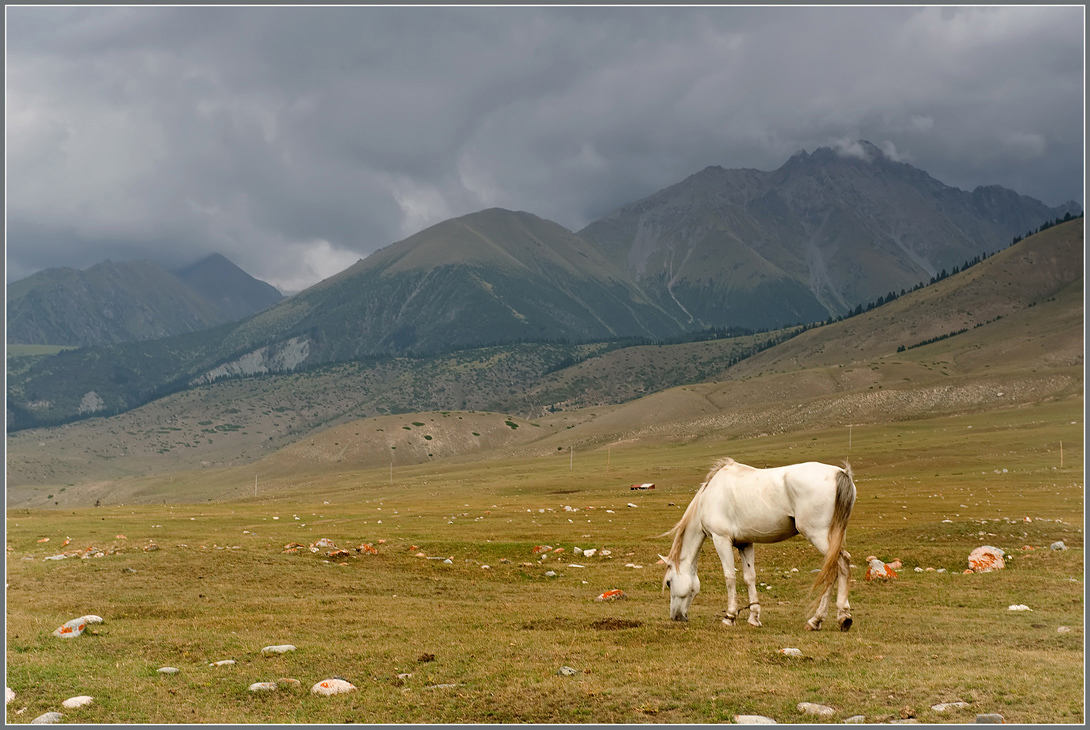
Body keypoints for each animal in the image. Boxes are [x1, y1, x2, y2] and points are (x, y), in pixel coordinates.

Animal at [658, 459, 854, 631]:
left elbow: (730, 577)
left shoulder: (721, 539)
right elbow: (749, 577)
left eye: (668, 582)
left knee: (839, 565)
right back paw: (841, 616)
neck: (708, 497)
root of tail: (840, 473)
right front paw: (754, 618)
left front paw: (730, 617)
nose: (675, 617)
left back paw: (819, 620)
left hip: (818, 535)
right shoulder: (745, 543)